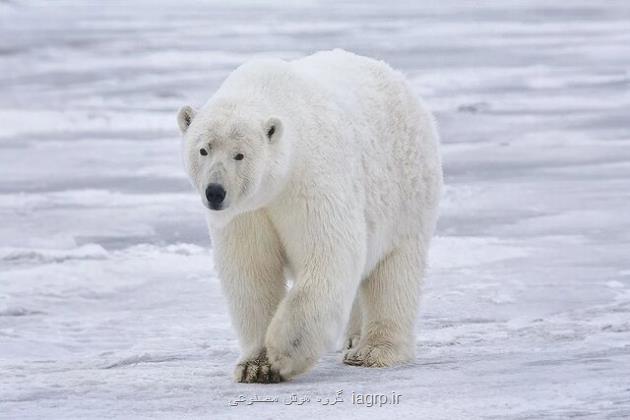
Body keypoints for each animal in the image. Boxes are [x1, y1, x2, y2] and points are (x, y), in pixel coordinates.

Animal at [177, 50, 444, 384]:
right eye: (203, 150)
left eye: (240, 154)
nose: (215, 192)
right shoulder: (247, 213)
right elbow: (252, 272)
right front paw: (255, 366)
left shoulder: (310, 179)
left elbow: (328, 254)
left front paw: (283, 353)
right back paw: (353, 338)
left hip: (406, 193)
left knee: (394, 272)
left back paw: (372, 351)